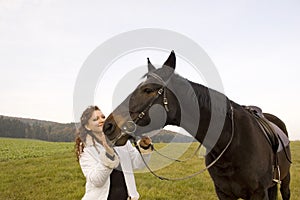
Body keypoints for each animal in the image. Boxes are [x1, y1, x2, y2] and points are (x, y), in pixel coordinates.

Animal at [103, 51, 290, 198]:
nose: (108, 126)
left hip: (284, 180)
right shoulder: (223, 193)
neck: (231, 142)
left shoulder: (259, 193)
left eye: (148, 90)